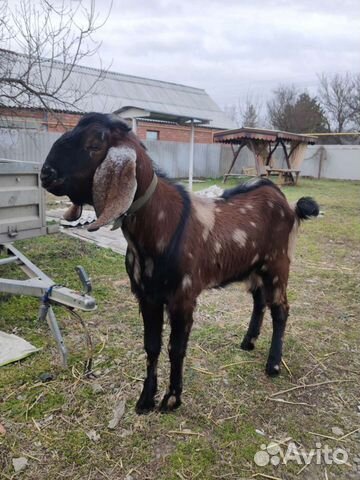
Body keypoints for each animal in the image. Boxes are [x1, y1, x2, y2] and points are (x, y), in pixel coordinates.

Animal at [40, 112, 320, 412]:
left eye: (94, 145)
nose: (46, 174)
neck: (158, 226)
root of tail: (288, 204)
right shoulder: (146, 296)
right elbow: (151, 346)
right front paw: (145, 399)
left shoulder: (183, 296)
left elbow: (176, 348)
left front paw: (172, 398)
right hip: (254, 267)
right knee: (259, 301)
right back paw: (248, 342)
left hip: (277, 264)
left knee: (281, 309)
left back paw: (274, 364)